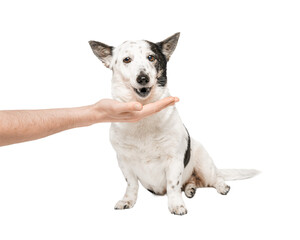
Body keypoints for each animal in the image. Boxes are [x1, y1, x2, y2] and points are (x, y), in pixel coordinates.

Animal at [88, 32, 258, 215]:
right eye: (127, 59)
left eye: (151, 57)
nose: (143, 78)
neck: (144, 119)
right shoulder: (124, 161)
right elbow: (131, 185)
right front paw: (128, 201)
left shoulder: (174, 159)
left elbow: (173, 185)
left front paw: (176, 204)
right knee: (192, 182)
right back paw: (190, 189)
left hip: (205, 165)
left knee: (214, 178)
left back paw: (222, 187)